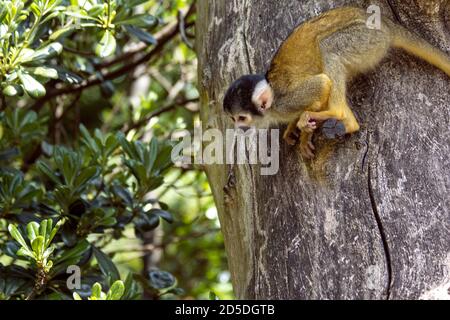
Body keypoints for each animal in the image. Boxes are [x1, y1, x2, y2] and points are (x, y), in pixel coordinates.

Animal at [222, 6, 450, 159]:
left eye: (242, 118)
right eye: (232, 119)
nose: (238, 128)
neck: (271, 107)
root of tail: (387, 25)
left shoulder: (285, 102)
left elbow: (321, 85)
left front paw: (304, 131)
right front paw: (295, 128)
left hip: (365, 38)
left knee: (329, 48)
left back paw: (341, 116)